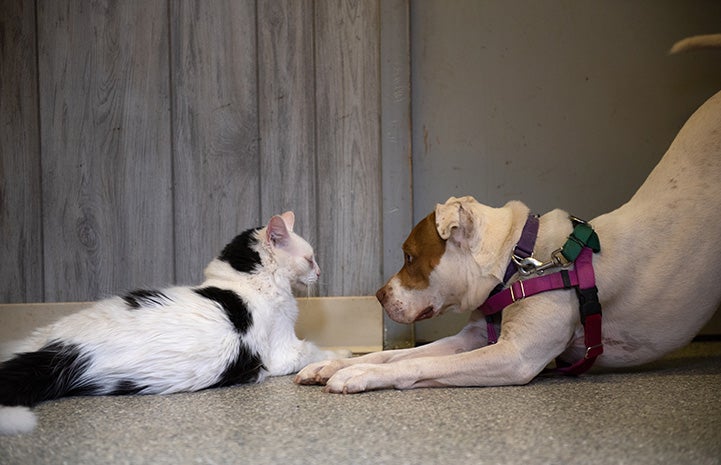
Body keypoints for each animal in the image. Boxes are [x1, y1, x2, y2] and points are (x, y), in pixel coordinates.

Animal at [0, 211, 344, 436]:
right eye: (310, 259)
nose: (320, 272)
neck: (243, 282)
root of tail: (59, 351)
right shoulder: (283, 353)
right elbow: (315, 351)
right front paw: (336, 359)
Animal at [294, 40, 720, 396]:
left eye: (410, 256)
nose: (379, 296)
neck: (519, 261)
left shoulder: (514, 356)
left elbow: (418, 362)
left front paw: (357, 374)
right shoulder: (472, 337)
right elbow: (396, 354)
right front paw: (331, 364)